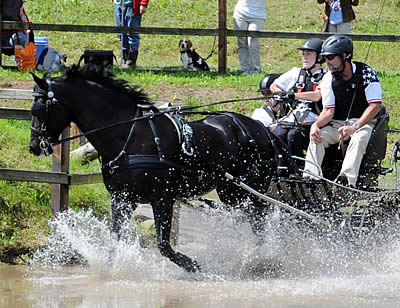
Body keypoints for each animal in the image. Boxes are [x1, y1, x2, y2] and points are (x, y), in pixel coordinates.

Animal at [30, 65, 288, 272]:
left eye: (40, 109)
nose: (34, 146)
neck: (130, 135)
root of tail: (261, 129)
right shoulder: (122, 198)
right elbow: (114, 240)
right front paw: (108, 272)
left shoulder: (162, 198)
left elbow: (164, 245)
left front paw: (193, 265)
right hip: (233, 192)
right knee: (257, 220)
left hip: (244, 190)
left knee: (262, 219)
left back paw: (260, 259)